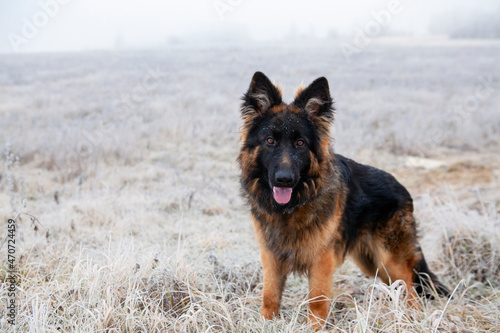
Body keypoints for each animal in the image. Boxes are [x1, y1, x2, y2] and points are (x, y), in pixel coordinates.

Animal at [237, 71, 450, 328]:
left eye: (300, 143)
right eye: (270, 141)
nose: (284, 179)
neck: (294, 205)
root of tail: (403, 189)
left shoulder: (321, 260)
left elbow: (317, 300)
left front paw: (315, 328)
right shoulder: (270, 256)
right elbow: (270, 296)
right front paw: (265, 323)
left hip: (390, 261)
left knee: (410, 288)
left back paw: (412, 319)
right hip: (373, 264)